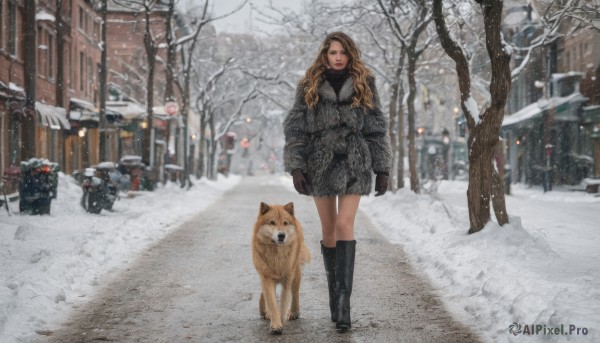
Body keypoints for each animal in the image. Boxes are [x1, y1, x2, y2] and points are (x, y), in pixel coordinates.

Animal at [251, 203, 312, 334]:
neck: (276, 254)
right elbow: (272, 302)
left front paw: (281, 319)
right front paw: (275, 324)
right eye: (272, 222)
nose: (281, 235)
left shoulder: (287, 279)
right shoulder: (267, 278)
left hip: (296, 274)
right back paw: (264, 311)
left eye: (285, 223)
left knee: (295, 293)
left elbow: (283, 303)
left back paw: (294, 312)